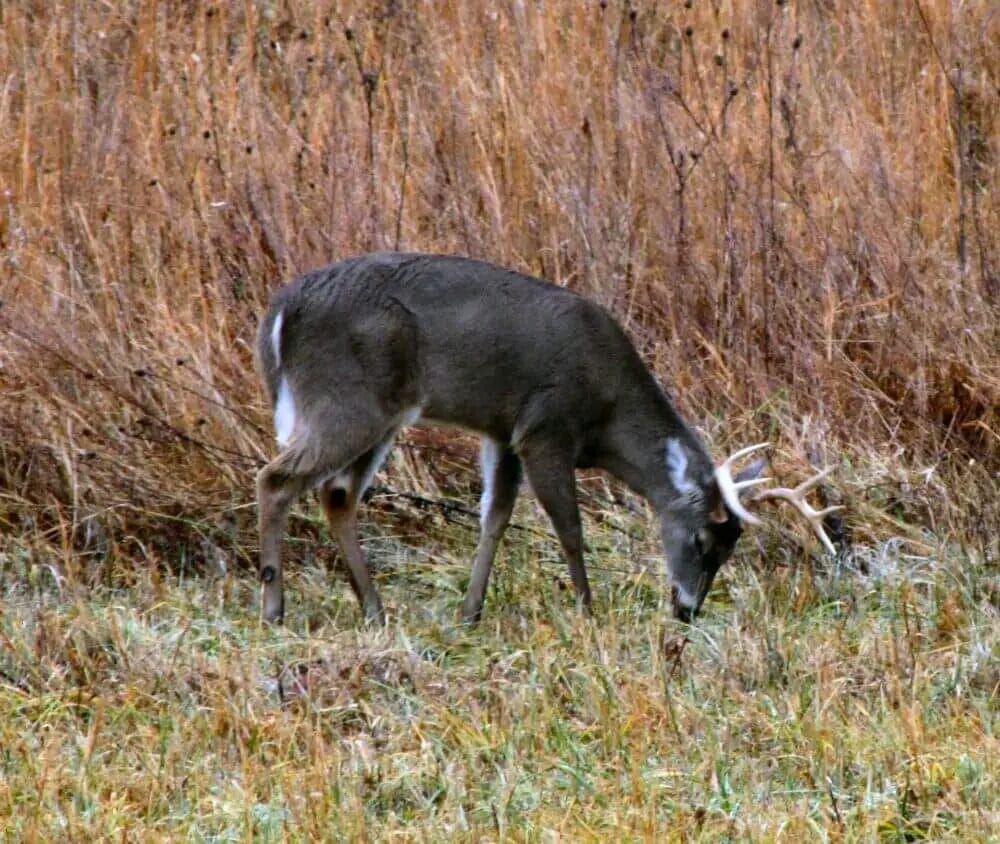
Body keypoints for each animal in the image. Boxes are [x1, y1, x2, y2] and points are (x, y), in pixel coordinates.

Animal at [255, 252, 840, 626]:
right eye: (701, 540)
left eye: (730, 549)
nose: (687, 611)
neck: (606, 416)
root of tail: (279, 313)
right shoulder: (546, 427)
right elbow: (570, 528)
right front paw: (587, 610)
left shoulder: (504, 432)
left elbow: (494, 517)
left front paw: (470, 612)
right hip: (348, 400)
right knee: (276, 478)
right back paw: (274, 608)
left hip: (381, 415)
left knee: (336, 494)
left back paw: (373, 610)